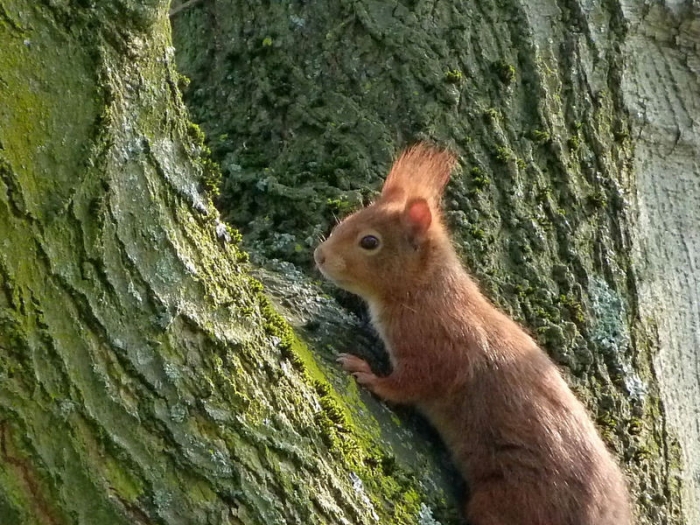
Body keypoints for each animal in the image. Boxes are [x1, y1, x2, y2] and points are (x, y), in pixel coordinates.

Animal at [313, 143, 631, 525]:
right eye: (347, 220)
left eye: (370, 242)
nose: (319, 256)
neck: (424, 290)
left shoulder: (443, 343)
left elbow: (414, 383)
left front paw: (368, 375)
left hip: (513, 498)